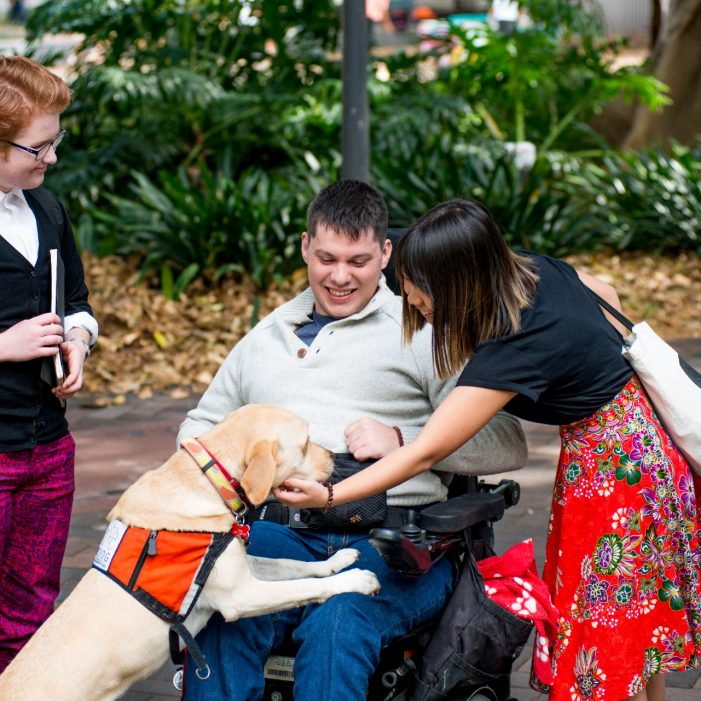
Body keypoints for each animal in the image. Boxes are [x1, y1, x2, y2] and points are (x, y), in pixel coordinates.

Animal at [0, 404, 380, 700]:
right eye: (304, 443)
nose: (334, 458)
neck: (211, 482)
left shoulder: (244, 569)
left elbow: (293, 564)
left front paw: (337, 560)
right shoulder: (241, 596)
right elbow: (304, 587)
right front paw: (357, 581)